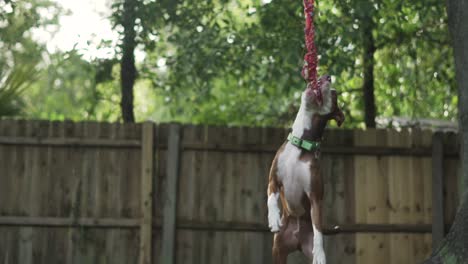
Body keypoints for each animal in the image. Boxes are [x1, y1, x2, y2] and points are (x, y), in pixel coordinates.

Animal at [266, 75, 344, 264]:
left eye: (334, 93)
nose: (327, 76)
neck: (301, 144)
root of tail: (297, 240)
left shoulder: (315, 197)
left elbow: (318, 230)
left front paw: (320, 253)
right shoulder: (273, 180)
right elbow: (271, 198)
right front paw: (273, 219)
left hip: (304, 245)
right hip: (278, 251)